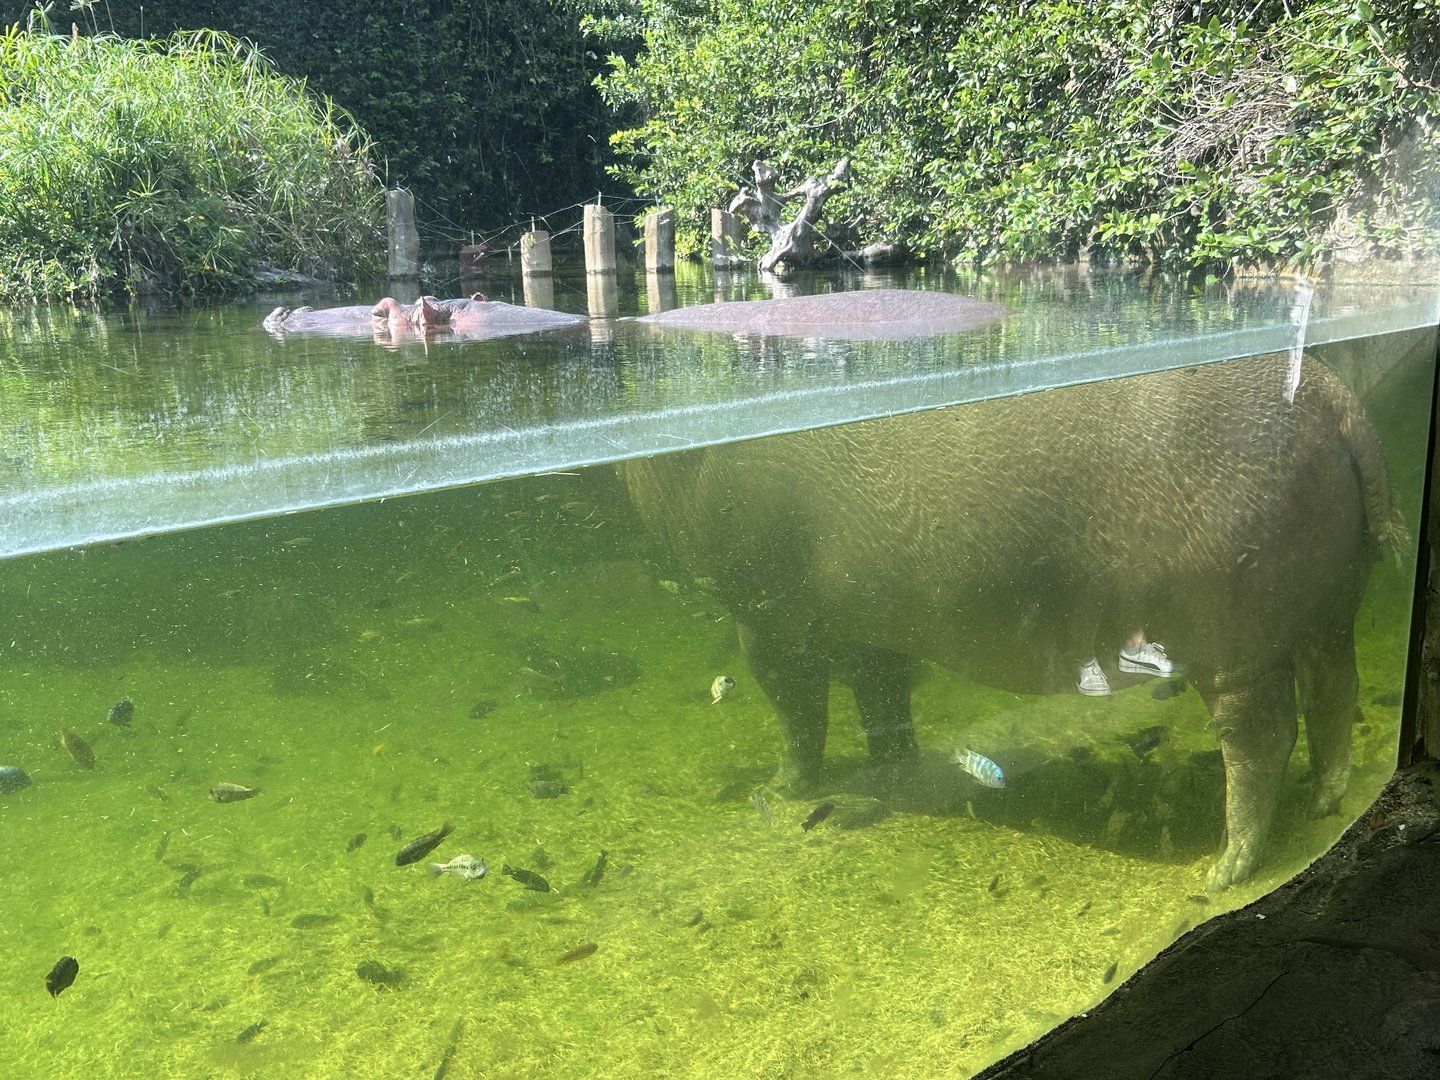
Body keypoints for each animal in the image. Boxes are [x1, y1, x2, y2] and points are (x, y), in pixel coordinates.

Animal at [623, 349, 1402, 889]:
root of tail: (1335, 398)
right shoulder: (870, 626)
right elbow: (881, 698)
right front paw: (894, 772)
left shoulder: (766, 614)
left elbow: (795, 705)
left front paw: (785, 789)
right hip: (1328, 607)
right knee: (1334, 691)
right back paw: (1327, 800)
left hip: (1232, 642)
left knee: (1260, 738)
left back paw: (1223, 871)